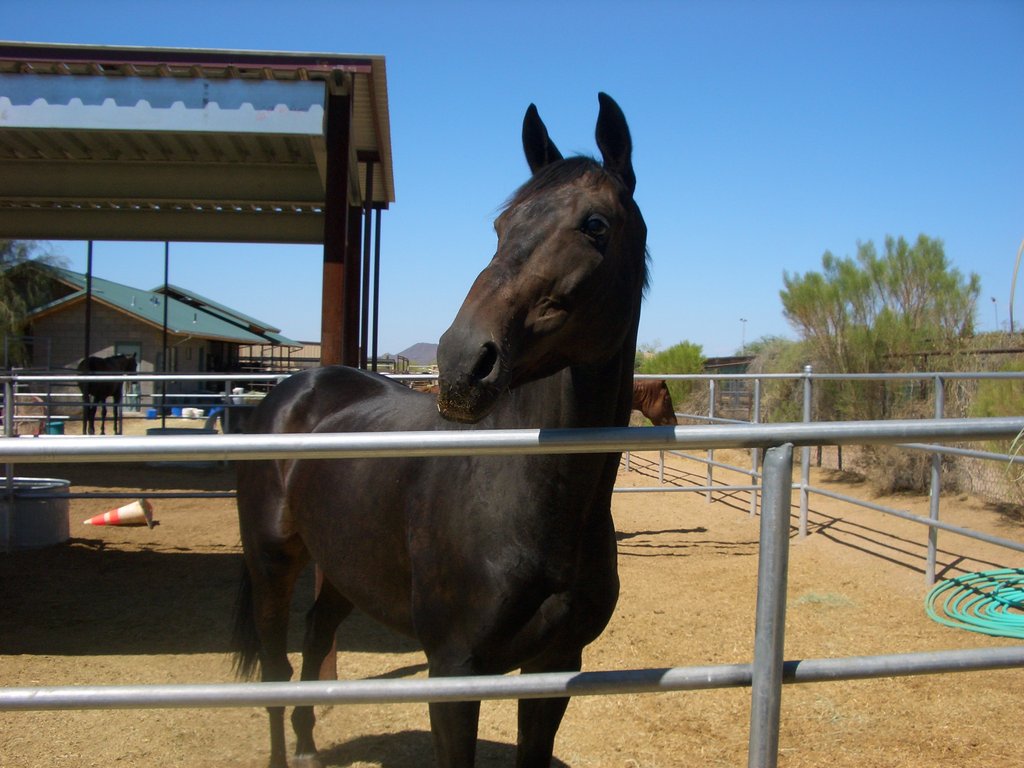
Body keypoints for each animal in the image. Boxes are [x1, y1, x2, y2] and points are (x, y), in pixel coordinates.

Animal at [233, 92, 648, 768]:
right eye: (501, 227)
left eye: (595, 225)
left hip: (343, 567)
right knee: (274, 669)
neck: (530, 501)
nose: (461, 363)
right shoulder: (454, 673)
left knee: (316, 635)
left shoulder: (555, 666)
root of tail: (297, 388)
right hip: (272, 561)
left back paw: (311, 745)